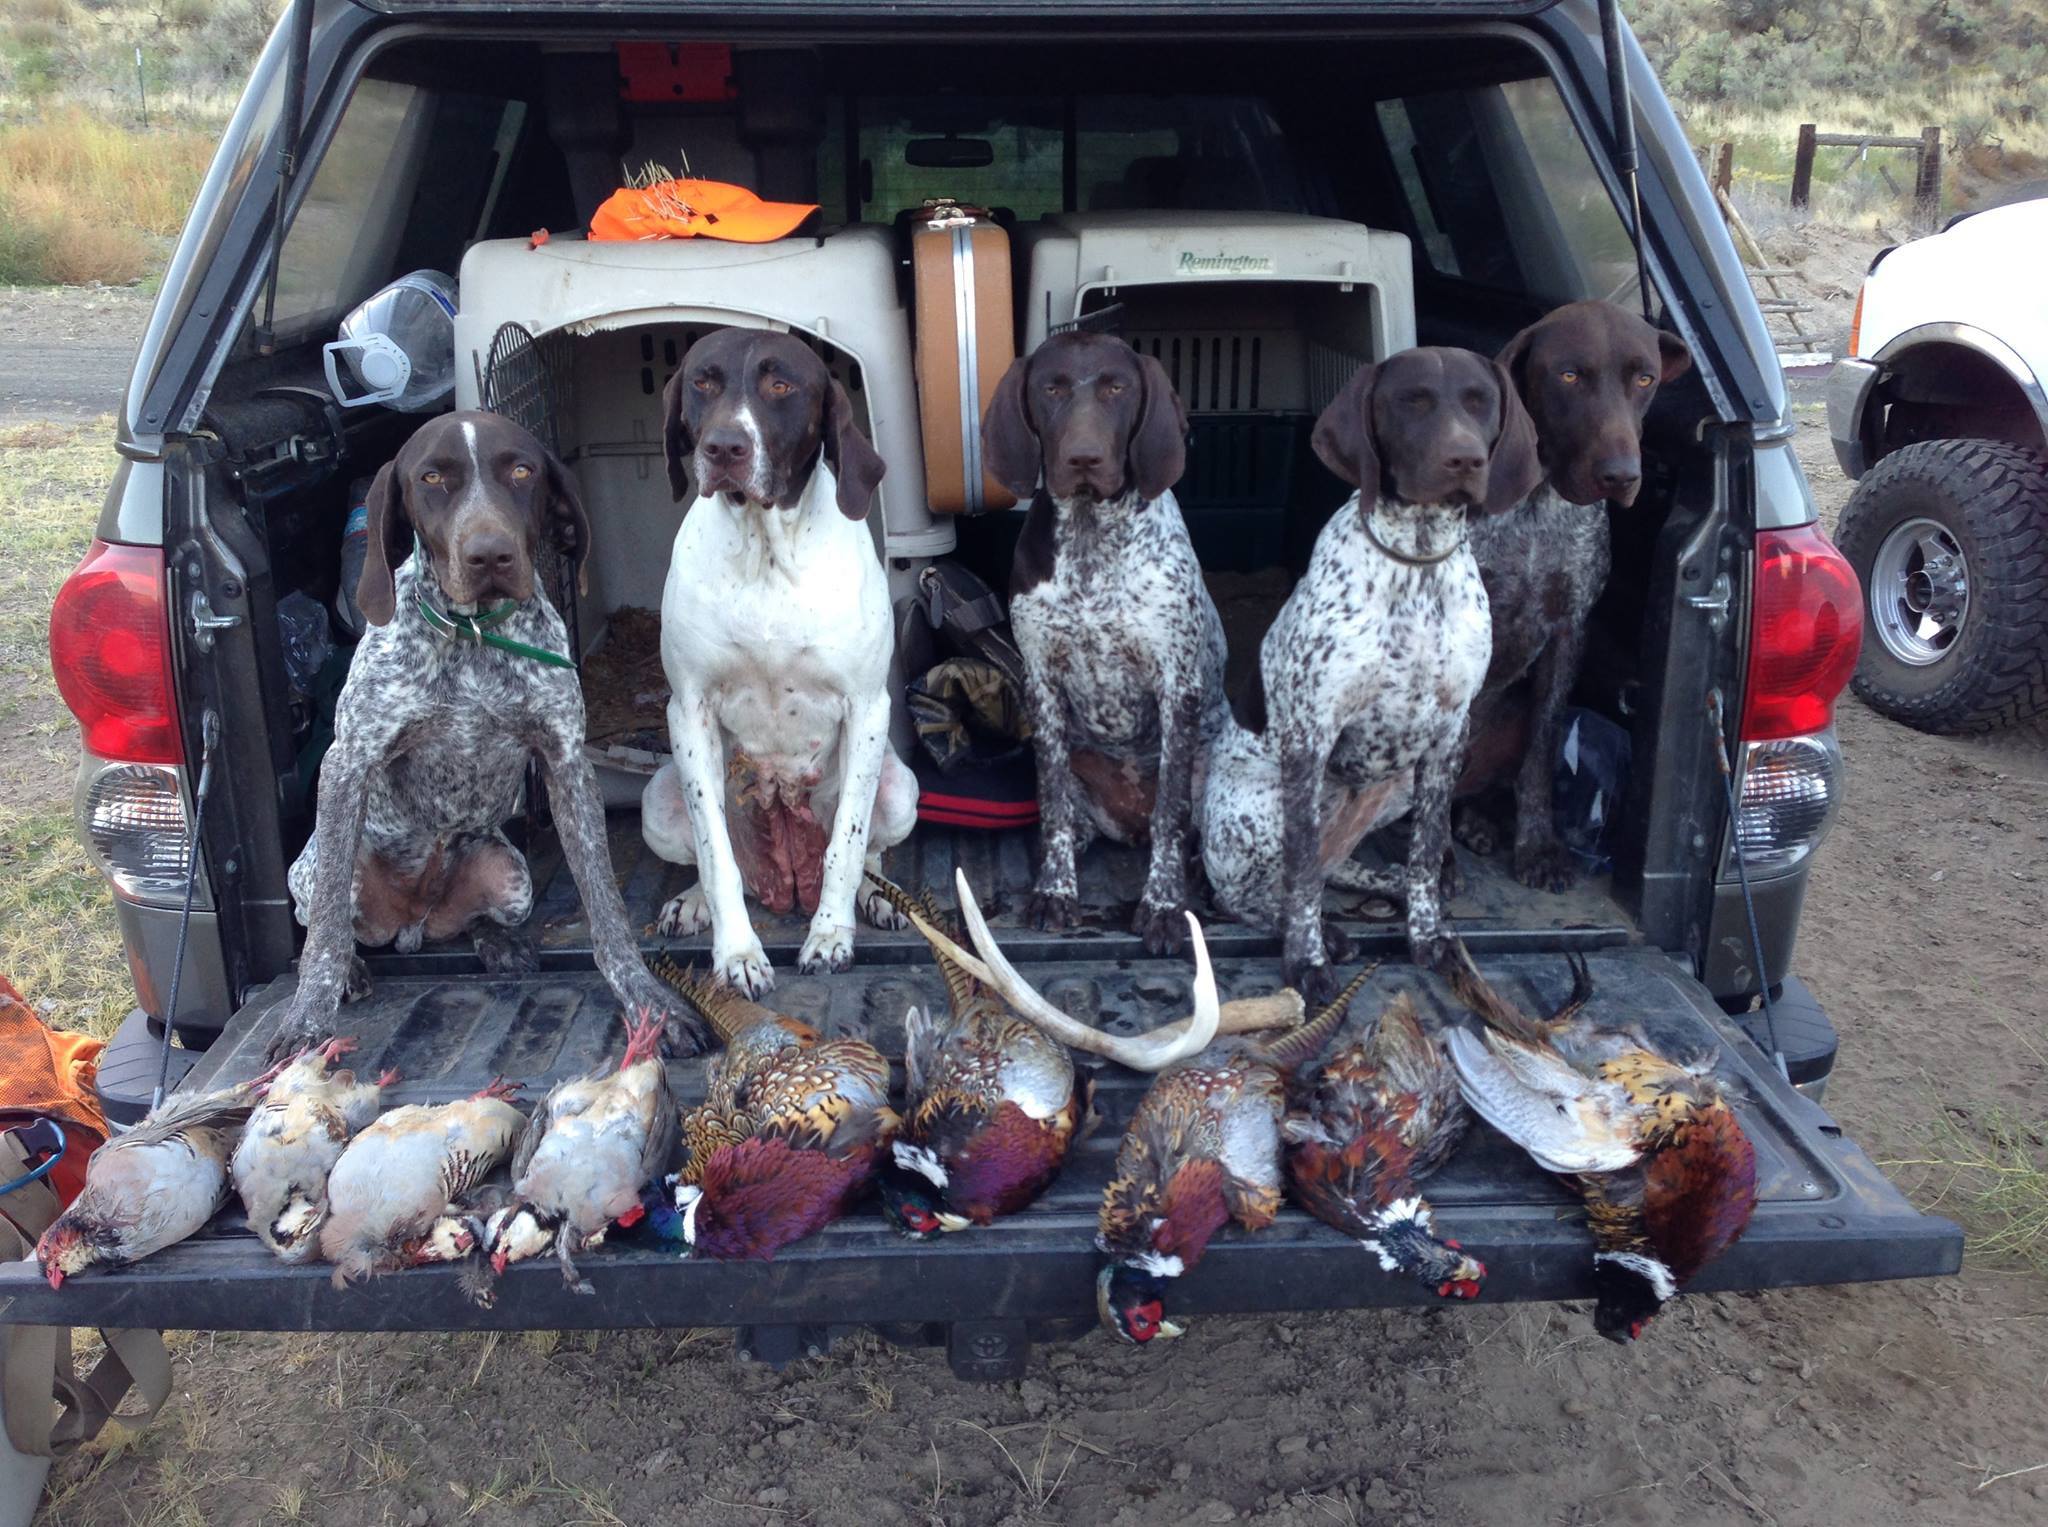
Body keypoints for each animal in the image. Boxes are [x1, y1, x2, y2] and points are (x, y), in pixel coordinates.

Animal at [643, 329, 917, 994]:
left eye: (781, 385)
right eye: (703, 381)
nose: (723, 447)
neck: (765, 551)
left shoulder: (867, 708)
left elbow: (848, 845)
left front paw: (831, 936)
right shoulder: (688, 710)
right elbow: (715, 854)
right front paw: (737, 953)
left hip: (901, 786)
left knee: (869, 852)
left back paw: (875, 897)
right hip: (657, 800)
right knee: (708, 856)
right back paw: (693, 902)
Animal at [983, 333, 1220, 949]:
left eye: (1118, 388)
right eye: (1051, 389)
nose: (1083, 458)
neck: (1092, 538)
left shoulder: (1177, 685)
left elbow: (1170, 812)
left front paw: (1162, 905)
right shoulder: (1041, 684)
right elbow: (1053, 808)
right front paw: (1055, 890)